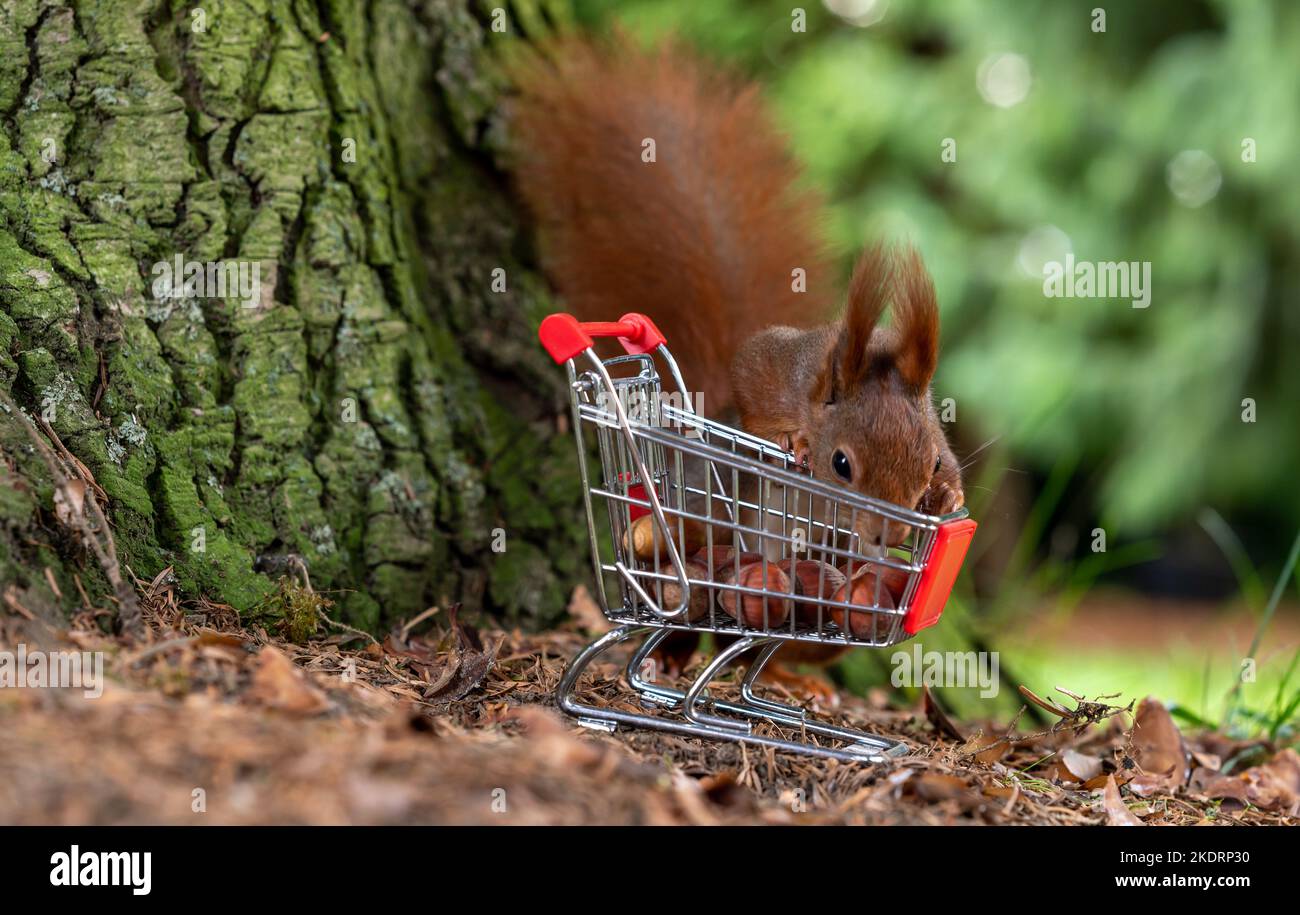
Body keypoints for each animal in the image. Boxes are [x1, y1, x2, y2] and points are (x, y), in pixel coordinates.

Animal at [508, 34, 964, 693]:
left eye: (927, 464)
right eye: (840, 464)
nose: (893, 535)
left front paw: (948, 497)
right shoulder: (777, 364)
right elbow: (754, 370)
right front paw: (794, 441)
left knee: (768, 644)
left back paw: (778, 676)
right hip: (704, 528)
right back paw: (678, 654)